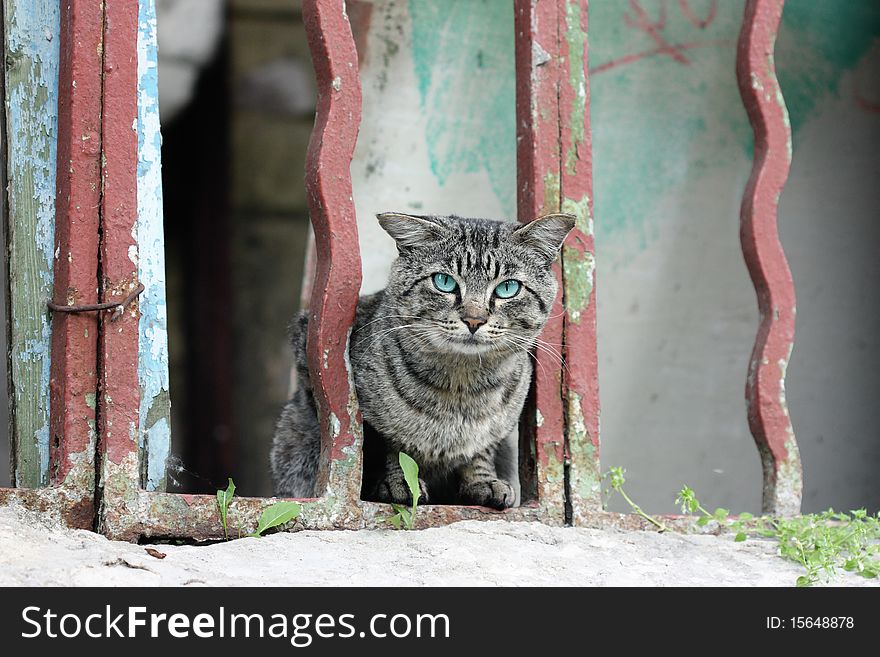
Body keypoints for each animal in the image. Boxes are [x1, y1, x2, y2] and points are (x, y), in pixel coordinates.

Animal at [276, 213, 576, 510]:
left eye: (507, 287)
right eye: (444, 282)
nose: (474, 320)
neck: (462, 388)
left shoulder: (497, 429)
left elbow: (481, 451)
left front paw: (484, 482)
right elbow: (390, 449)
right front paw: (398, 483)